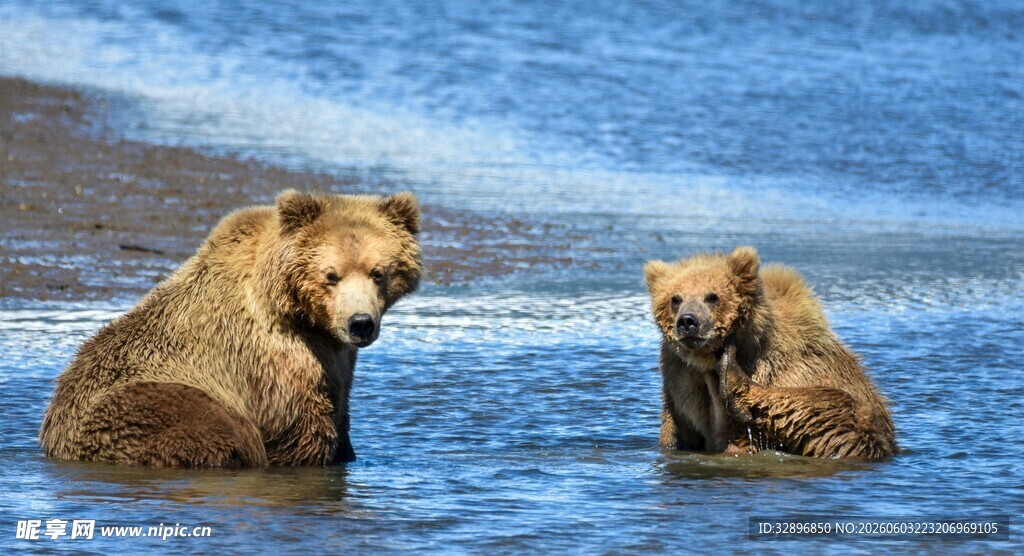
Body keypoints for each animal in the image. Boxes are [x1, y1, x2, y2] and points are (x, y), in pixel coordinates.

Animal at [39, 190, 422, 467]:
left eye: (378, 272)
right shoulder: (273, 360)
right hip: (151, 401)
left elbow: (341, 415)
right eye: (331, 275)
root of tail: (54, 435)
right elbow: (299, 432)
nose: (360, 323)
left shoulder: (337, 359)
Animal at [644, 246, 897, 460]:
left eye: (712, 296)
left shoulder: (784, 367)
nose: (688, 321)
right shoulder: (680, 385)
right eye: (675, 298)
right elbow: (675, 434)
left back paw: (733, 377)